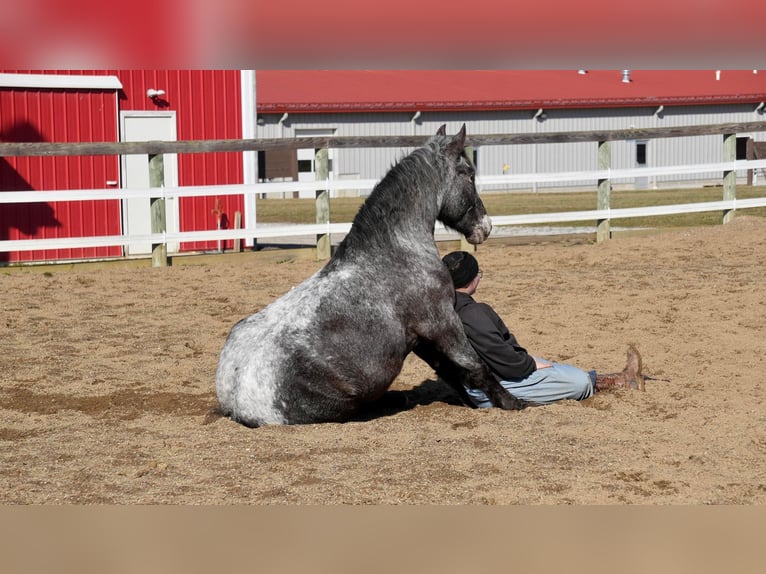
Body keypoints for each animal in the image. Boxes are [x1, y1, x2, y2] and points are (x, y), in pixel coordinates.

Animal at [215, 124, 528, 426]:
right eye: (469, 175)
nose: (485, 226)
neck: (396, 248)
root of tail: (236, 403)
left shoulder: (420, 338)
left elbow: (451, 371)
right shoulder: (442, 323)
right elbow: (472, 363)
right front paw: (513, 402)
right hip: (346, 402)